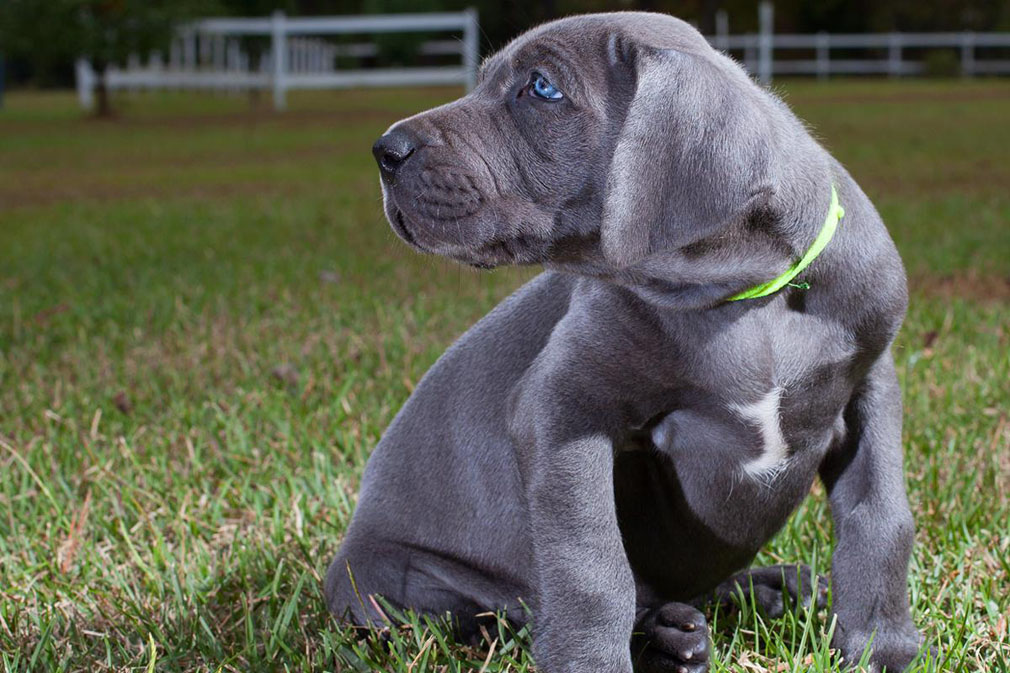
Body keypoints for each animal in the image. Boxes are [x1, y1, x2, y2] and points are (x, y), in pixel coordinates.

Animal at [327, 11, 925, 670]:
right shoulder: (563, 409)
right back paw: (666, 637)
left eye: (541, 88)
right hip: (388, 582)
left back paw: (763, 591)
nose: (385, 150)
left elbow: (881, 519)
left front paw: (882, 647)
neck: (750, 299)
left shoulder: (872, 384)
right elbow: (592, 565)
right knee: (503, 611)